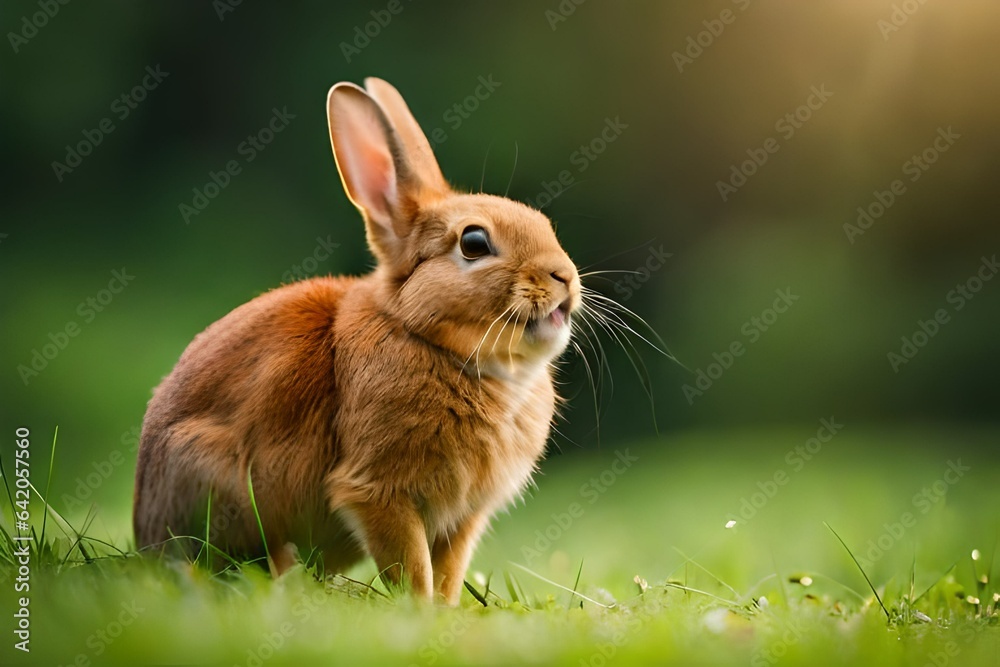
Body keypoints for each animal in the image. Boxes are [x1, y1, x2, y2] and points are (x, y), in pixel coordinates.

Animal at [133, 77, 580, 605]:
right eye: (474, 243)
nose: (564, 277)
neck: (427, 338)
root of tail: (144, 530)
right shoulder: (376, 490)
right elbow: (412, 566)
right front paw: (419, 612)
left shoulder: (463, 518)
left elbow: (447, 572)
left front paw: (445, 611)